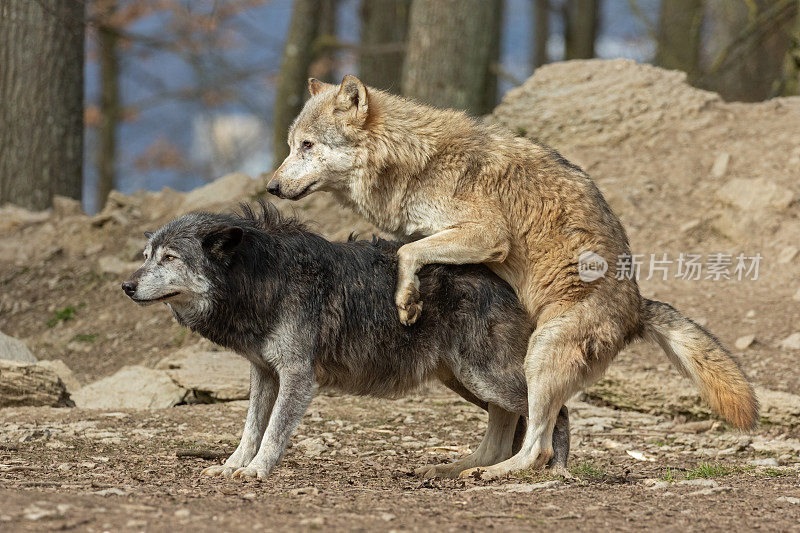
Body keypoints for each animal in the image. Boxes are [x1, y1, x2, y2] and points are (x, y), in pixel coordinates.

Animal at [122, 202, 568, 480]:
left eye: (169, 258)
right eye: (146, 256)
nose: (126, 286)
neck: (262, 275)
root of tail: (504, 273)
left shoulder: (298, 377)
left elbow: (273, 432)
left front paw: (256, 471)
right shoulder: (264, 374)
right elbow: (250, 430)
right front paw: (233, 466)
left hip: (485, 379)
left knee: (553, 411)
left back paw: (548, 469)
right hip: (465, 381)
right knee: (504, 427)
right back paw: (458, 470)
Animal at [266, 75, 760, 478]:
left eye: (307, 146)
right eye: (291, 145)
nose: (271, 187)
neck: (415, 162)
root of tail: (637, 307)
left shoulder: (487, 235)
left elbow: (408, 251)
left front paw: (406, 301)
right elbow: (411, 249)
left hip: (540, 354)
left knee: (539, 442)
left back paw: (497, 473)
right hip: (470, 371)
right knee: (508, 428)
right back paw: (459, 467)